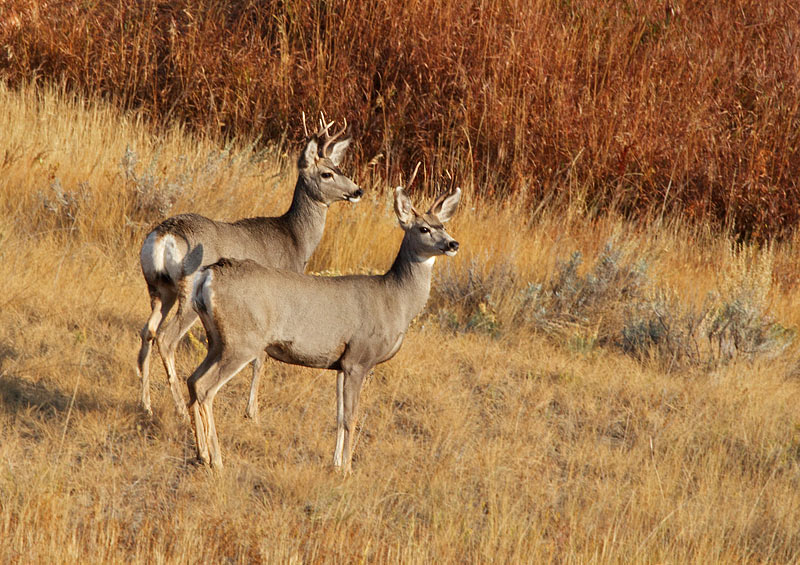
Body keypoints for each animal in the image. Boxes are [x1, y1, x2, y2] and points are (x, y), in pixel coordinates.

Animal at [136, 115, 362, 420]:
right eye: (327, 174)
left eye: (340, 168)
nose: (357, 191)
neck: (294, 239)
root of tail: (165, 235)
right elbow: (260, 359)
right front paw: (252, 411)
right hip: (188, 291)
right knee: (166, 338)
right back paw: (181, 409)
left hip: (158, 288)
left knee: (147, 331)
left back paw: (146, 404)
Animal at [186, 182, 461, 473]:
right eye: (424, 228)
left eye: (443, 224)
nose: (453, 244)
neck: (395, 300)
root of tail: (208, 275)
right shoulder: (358, 358)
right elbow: (351, 417)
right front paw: (349, 469)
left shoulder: (341, 363)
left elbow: (339, 416)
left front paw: (337, 463)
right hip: (242, 340)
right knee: (205, 388)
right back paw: (216, 460)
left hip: (217, 340)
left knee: (192, 380)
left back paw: (201, 454)